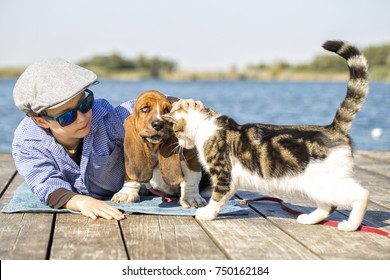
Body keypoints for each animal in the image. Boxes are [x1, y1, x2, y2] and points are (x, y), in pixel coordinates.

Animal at [164, 40, 368, 231]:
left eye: (175, 131)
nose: (179, 143)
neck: (206, 124)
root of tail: (333, 128)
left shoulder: (224, 175)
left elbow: (217, 197)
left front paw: (206, 213)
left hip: (327, 180)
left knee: (361, 194)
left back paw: (350, 225)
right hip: (316, 185)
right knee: (328, 206)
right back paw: (310, 219)